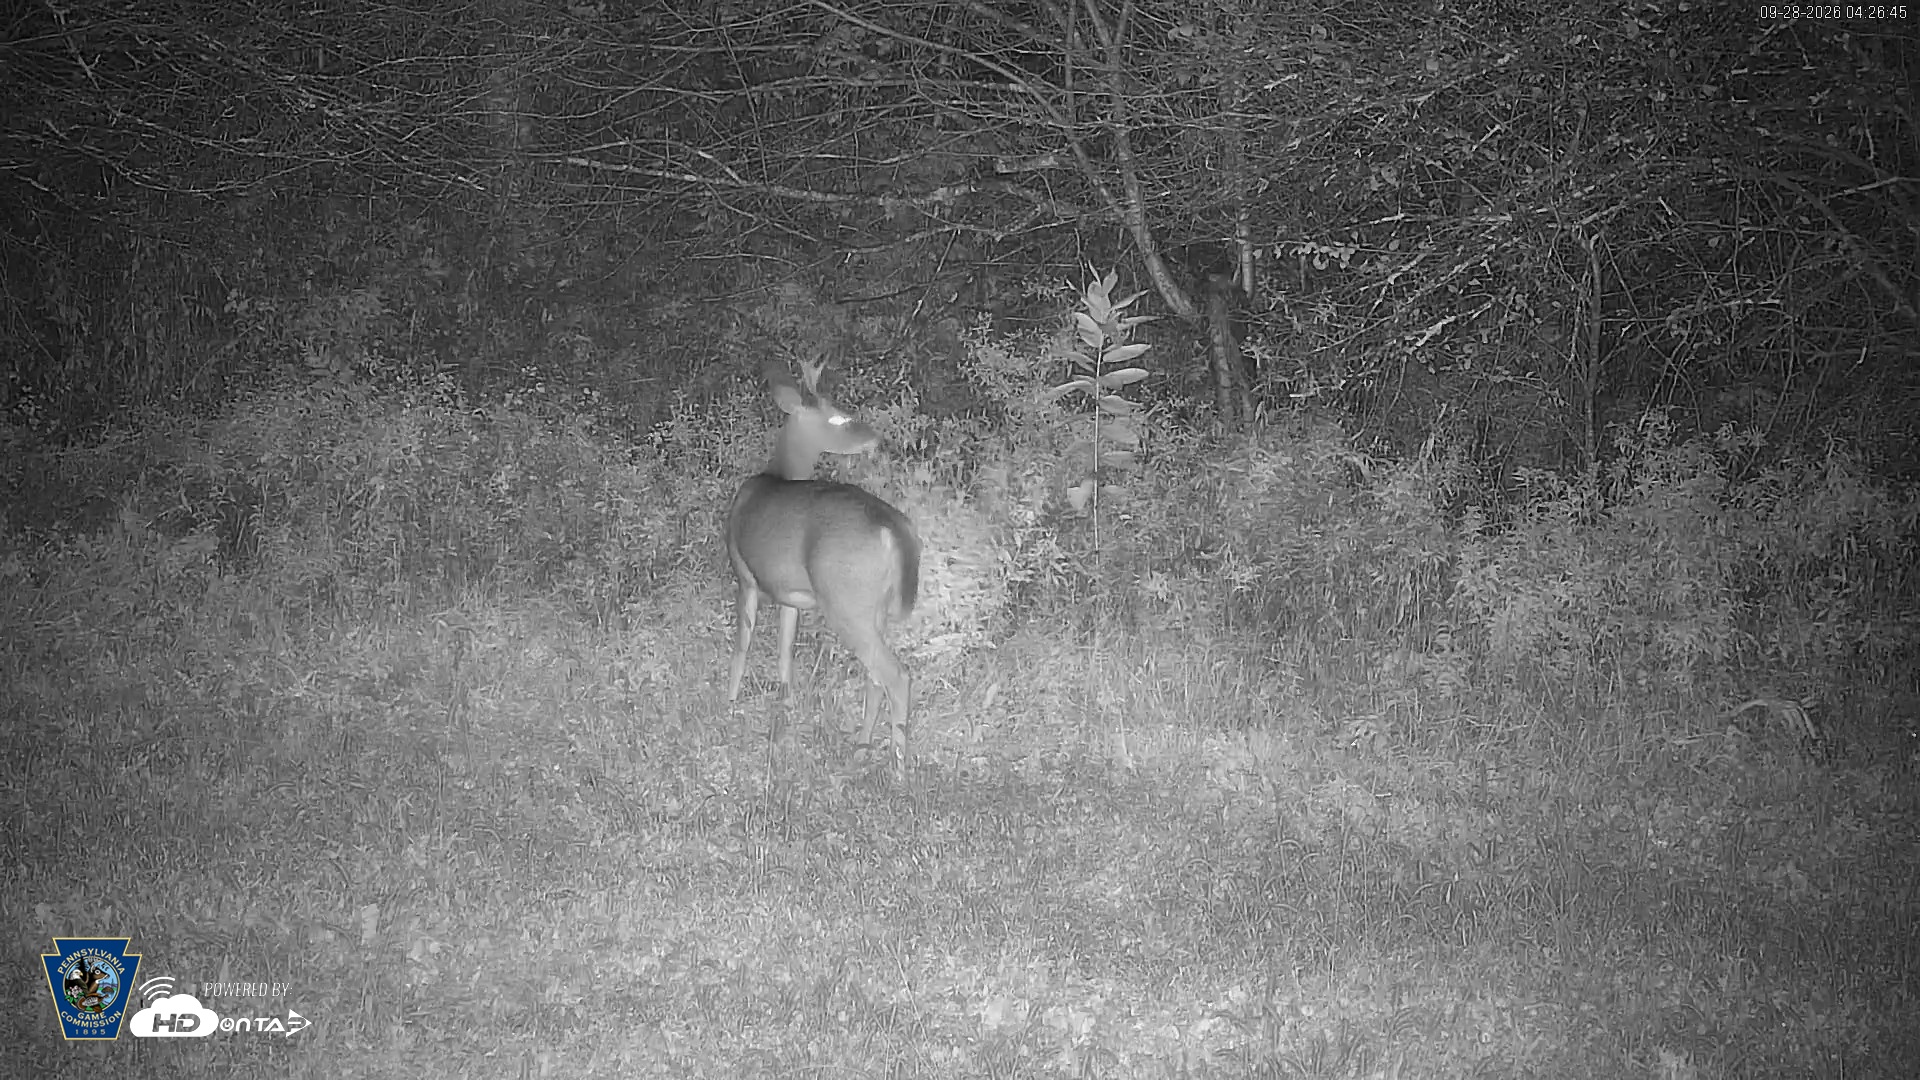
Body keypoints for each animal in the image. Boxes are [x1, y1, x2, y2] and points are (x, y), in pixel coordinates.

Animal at [724, 360, 919, 774]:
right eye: (840, 416)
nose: (877, 438)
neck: (777, 474)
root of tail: (892, 528)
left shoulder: (744, 574)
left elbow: (742, 646)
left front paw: (728, 705)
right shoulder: (789, 594)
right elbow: (785, 650)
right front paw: (785, 708)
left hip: (844, 600)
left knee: (895, 675)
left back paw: (897, 767)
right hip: (873, 606)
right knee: (876, 676)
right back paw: (861, 747)